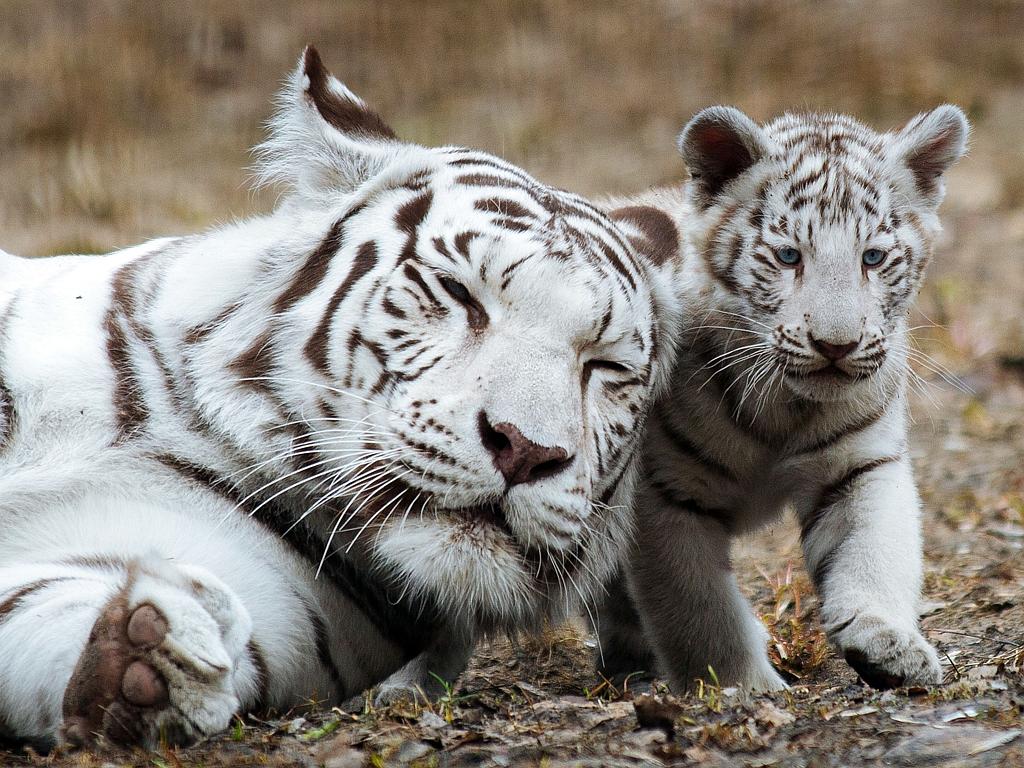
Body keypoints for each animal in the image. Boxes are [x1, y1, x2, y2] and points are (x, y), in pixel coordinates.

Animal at [598, 100, 966, 692]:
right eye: (789, 256)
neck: (786, 407)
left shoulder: (859, 468)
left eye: (873, 258)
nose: (836, 346)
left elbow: (874, 554)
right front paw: (740, 686)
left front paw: (887, 643)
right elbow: (697, 607)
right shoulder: (666, 494)